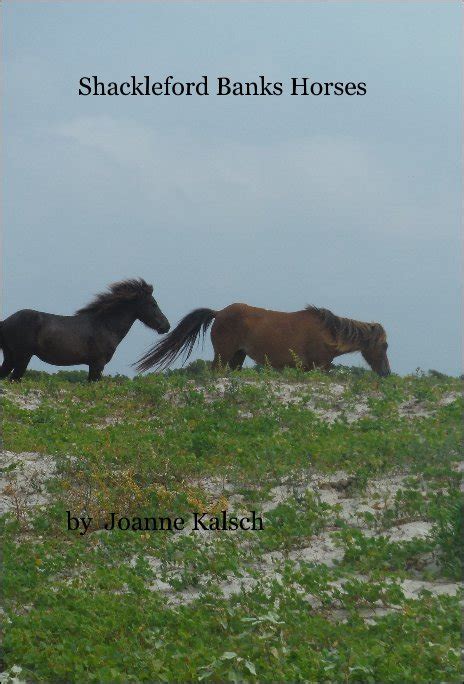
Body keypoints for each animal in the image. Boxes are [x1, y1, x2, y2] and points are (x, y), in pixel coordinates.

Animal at [0, 280, 170, 382]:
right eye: (153, 304)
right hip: (22, 357)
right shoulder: (97, 364)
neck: (105, 325)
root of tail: (5, 322)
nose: (166, 326)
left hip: (10, 357)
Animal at [135, 306, 392, 380]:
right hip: (223, 354)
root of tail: (219, 313)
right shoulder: (318, 367)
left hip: (237, 357)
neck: (328, 333)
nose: (386, 372)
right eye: (385, 345)